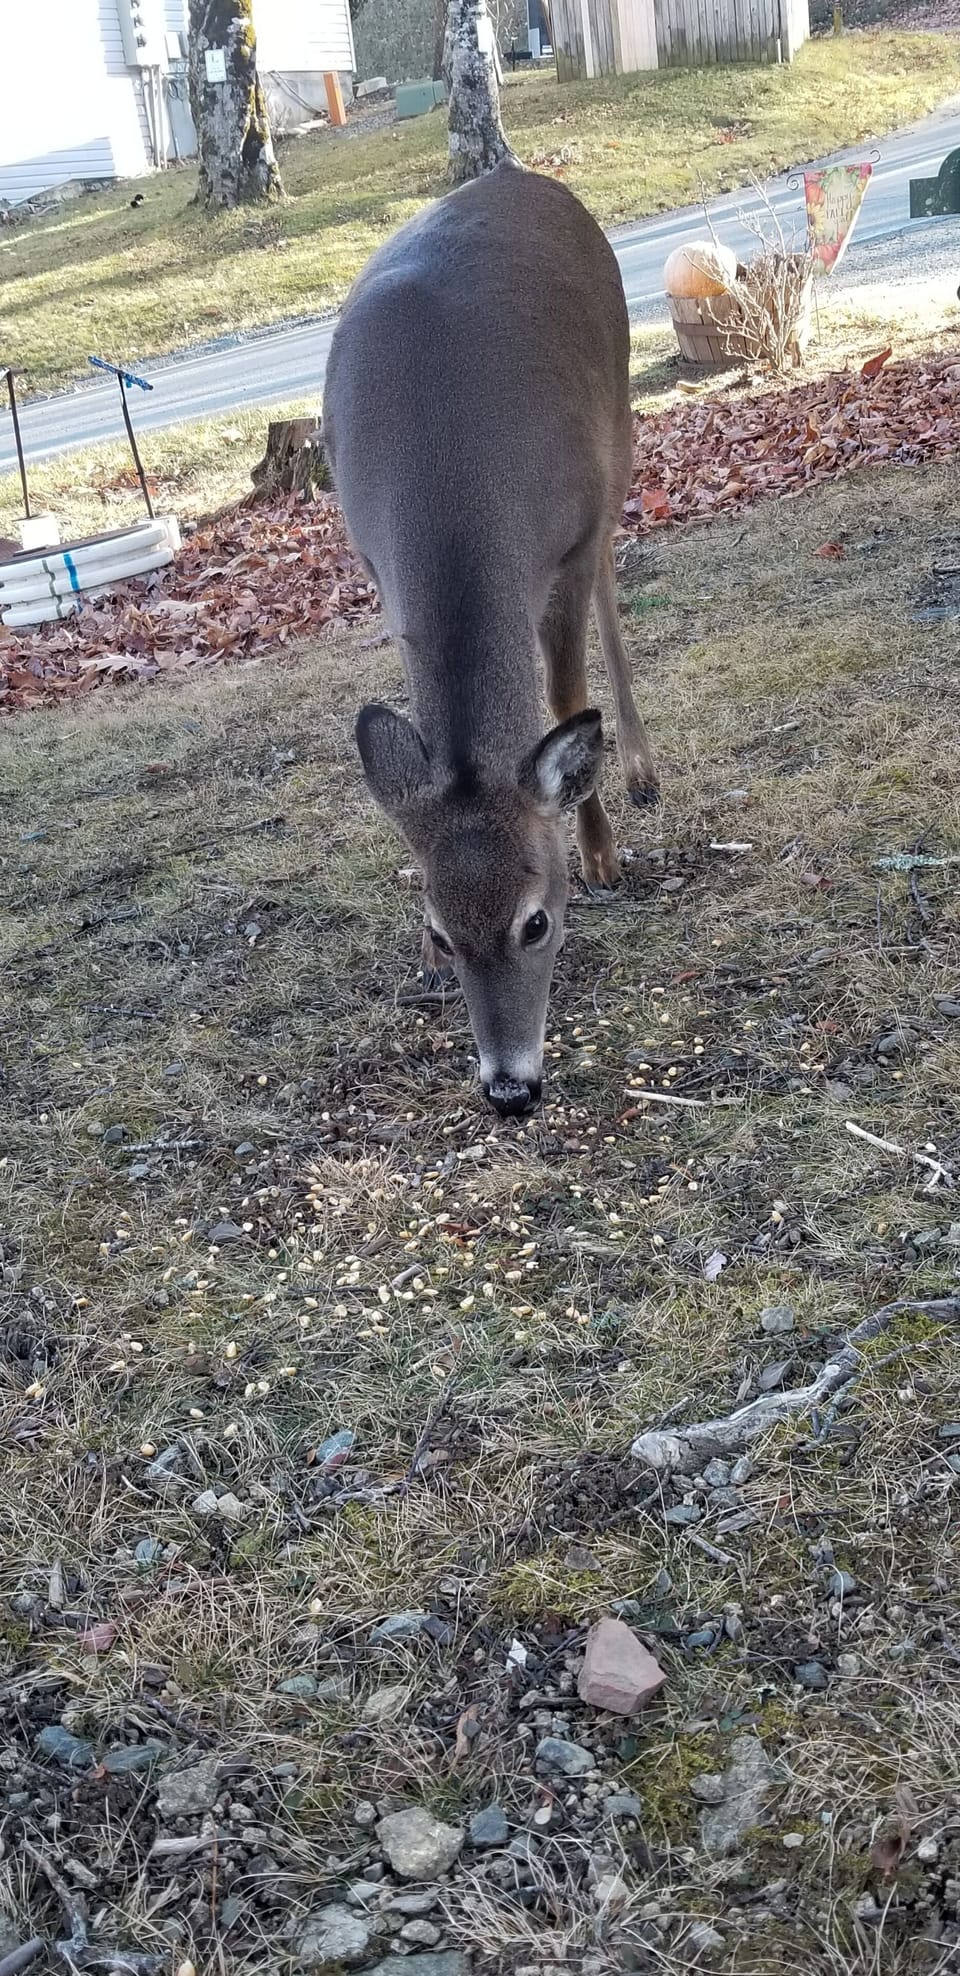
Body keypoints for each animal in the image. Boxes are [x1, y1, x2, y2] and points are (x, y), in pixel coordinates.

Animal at [322, 162, 658, 1118]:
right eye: (440, 928)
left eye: (536, 921)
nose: (510, 1086)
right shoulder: (373, 563)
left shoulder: (567, 538)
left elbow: (565, 696)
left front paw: (601, 855)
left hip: (617, 421)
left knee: (616, 575)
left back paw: (641, 770)